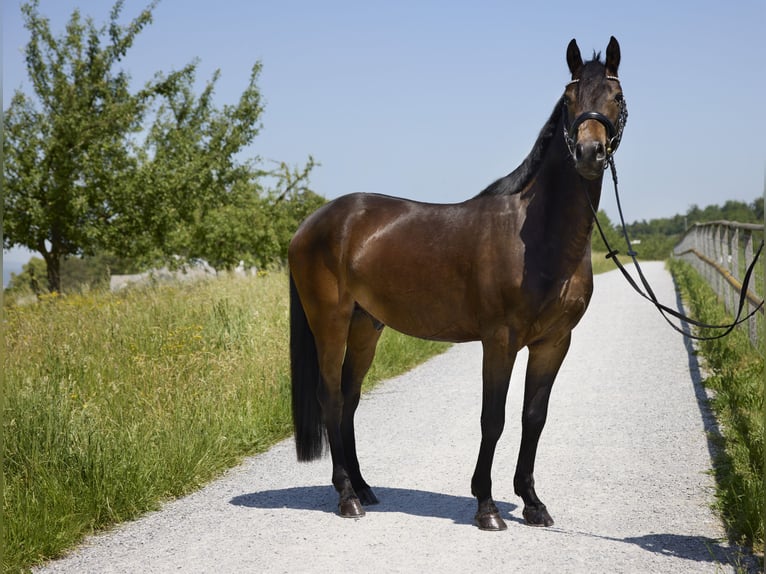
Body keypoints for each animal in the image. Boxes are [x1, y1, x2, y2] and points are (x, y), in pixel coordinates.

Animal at [288, 37, 627, 531]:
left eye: (616, 97)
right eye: (568, 100)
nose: (588, 152)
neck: (537, 236)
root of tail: (310, 225)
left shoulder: (554, 342)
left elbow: (533, 417)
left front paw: (532, 502)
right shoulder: (500, 339)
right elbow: (493, 418)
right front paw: (486, 505)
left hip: (366, 326)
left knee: (349, 400)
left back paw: (365, 488)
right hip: (329, 323)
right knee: (330, 398)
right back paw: (347, 496)